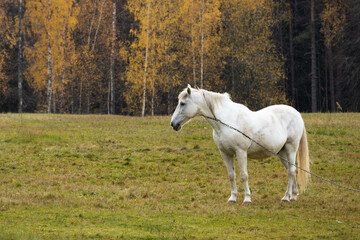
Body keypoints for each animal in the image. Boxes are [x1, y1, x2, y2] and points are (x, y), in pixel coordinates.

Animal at [171, 85, 310, 203]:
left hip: (291, 148)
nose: (173, 124)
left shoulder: (241, 152)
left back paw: (286, 197)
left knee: (291, 171)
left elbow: (244, 175)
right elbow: (231, 175)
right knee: (290, 171)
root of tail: (297, 113)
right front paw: (232, 198)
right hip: (281, 152)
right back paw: (293, 195)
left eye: (182, 103)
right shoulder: (225, 153)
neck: (227, 121)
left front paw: (247, 199)